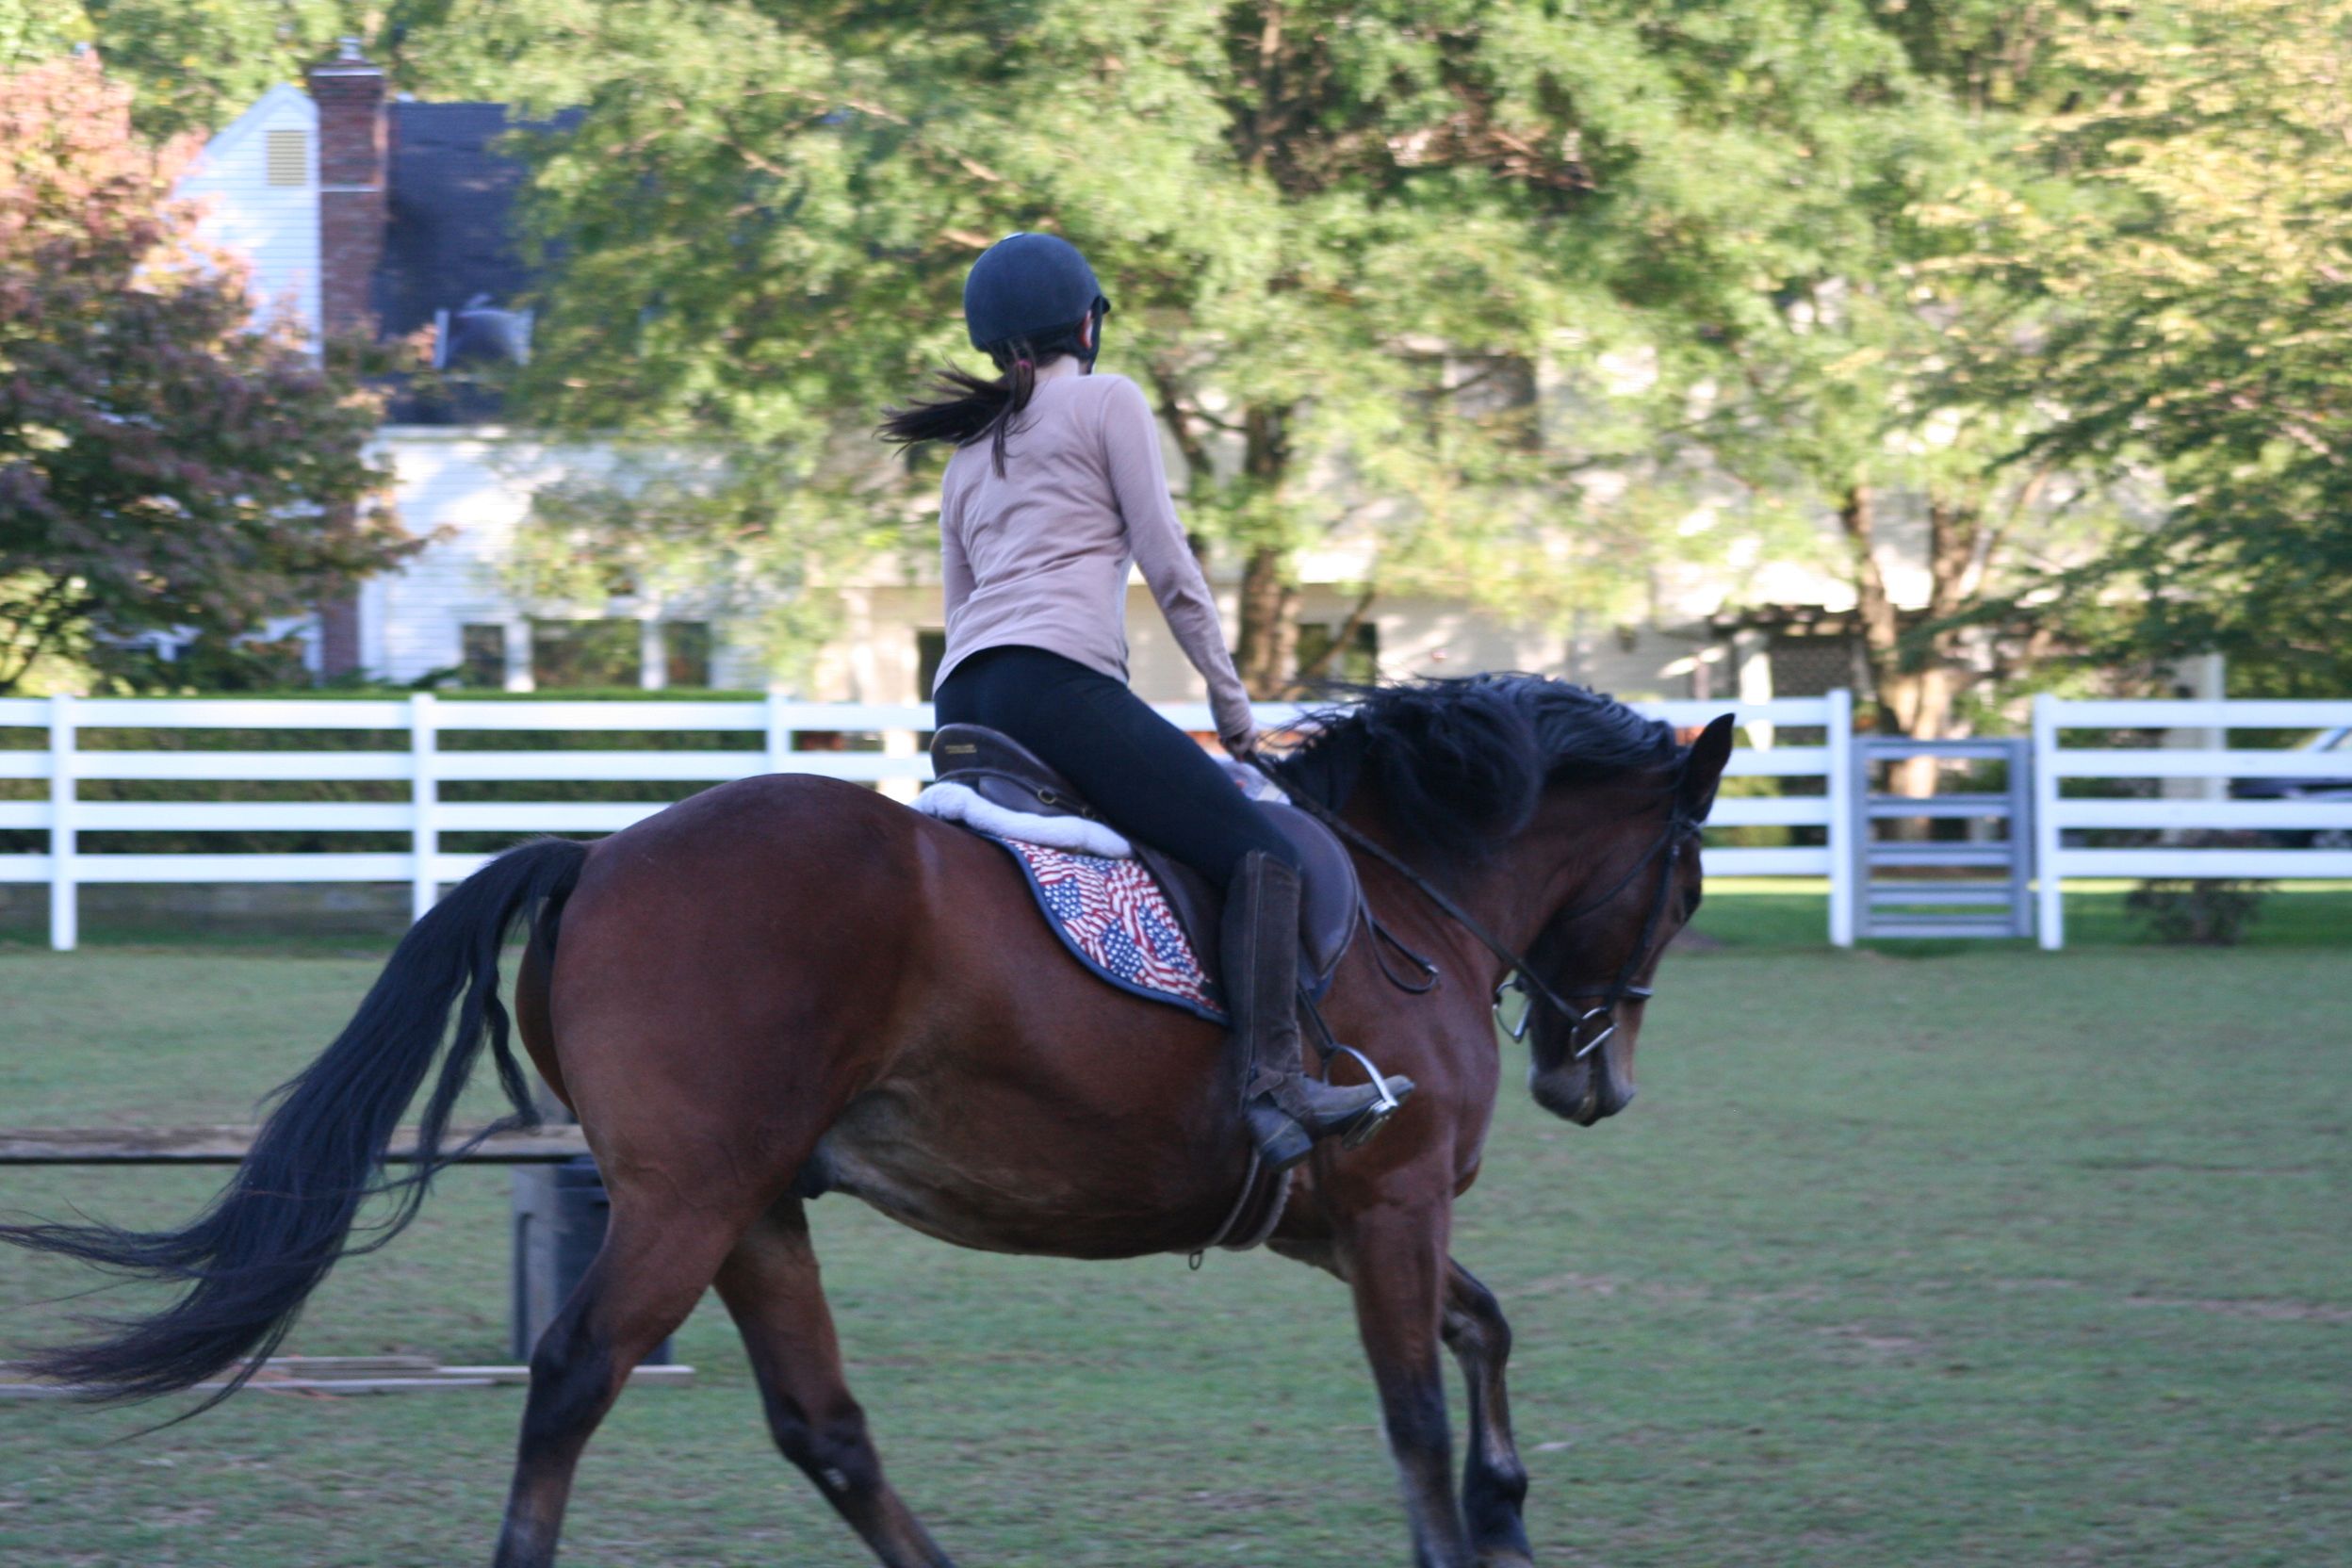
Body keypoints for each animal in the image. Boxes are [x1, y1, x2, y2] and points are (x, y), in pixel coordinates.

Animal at [2, 675, 1733, 1568]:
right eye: (1690, 882)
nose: (1598, 1082)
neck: (1403, 889)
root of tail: (602, 850)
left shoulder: (1330, 1214)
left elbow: (1484, 1330)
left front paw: (1509, 1515)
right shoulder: (1387, 1200)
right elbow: (1419, 1406)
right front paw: (1473, 1516)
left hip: (755, 1202)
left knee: (821, 1427)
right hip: (690, 1199)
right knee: (575, 1376)